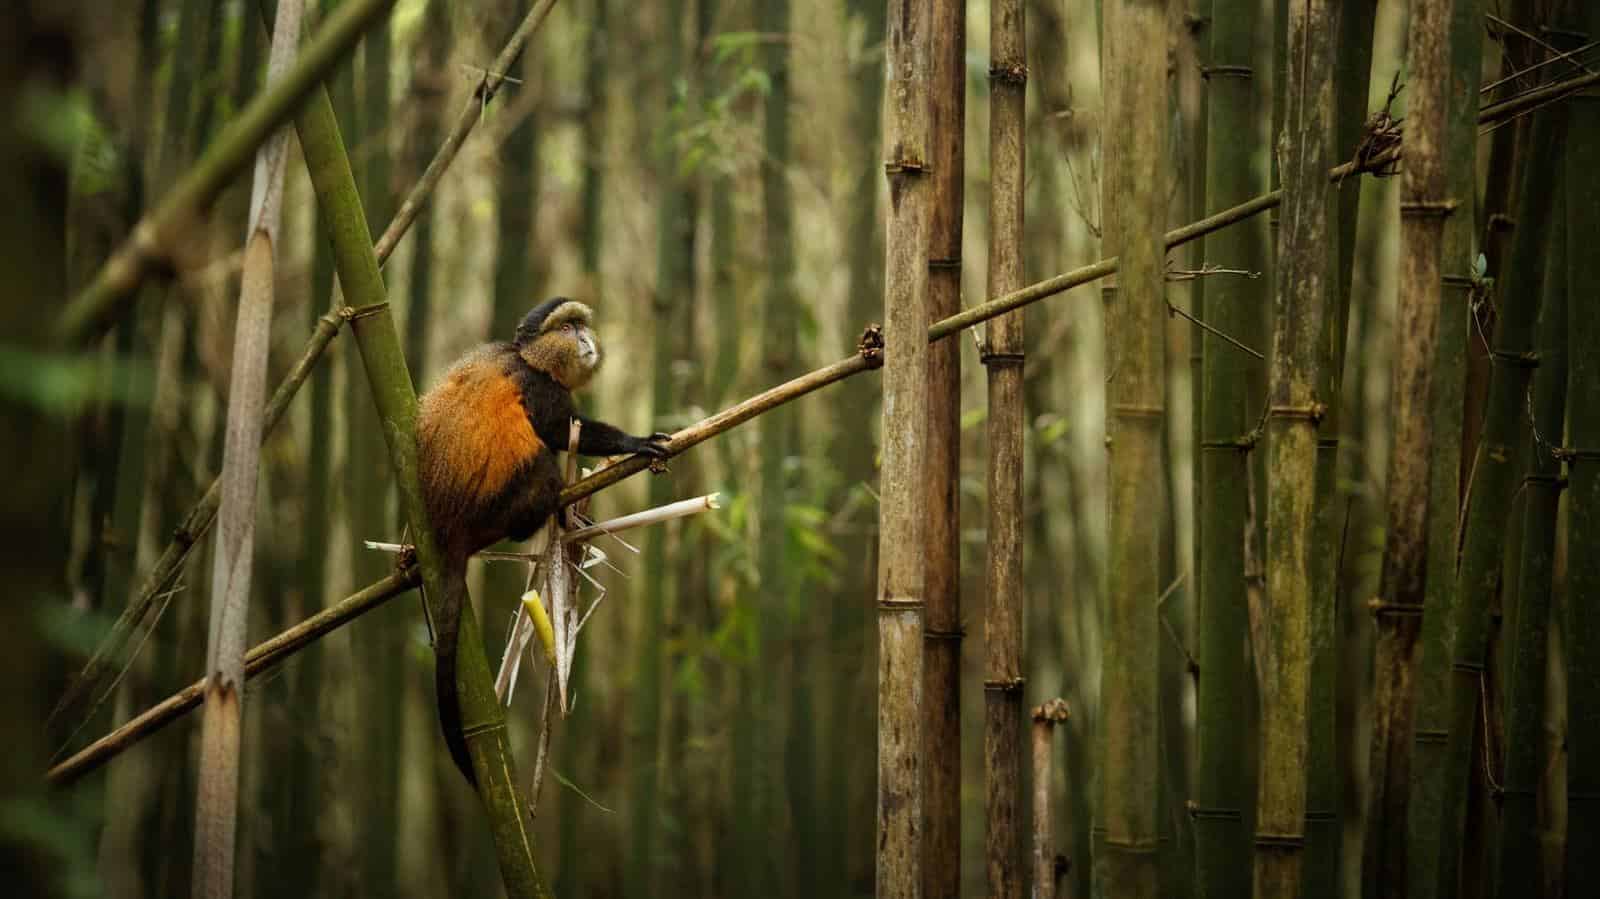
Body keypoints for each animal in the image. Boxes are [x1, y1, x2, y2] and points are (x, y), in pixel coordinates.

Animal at [415, 297, 668, 784]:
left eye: (581, 326)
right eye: (567, 328)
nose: (585, 339)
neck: (527, 357)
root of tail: (452, 527)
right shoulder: (542, 390)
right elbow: (557, 430)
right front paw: (635, 442)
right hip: (506, 503)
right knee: (544, 465)